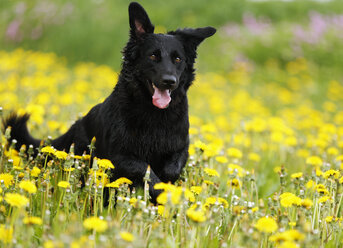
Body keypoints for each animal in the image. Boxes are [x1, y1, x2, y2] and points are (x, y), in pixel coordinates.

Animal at [3, 2, 215, 202]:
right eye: (153, 55)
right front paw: (161, 191)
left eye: (178, 59)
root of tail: (76, 125)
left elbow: (171, 170)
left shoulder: (179, 149)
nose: (170, 81)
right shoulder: (121, 156)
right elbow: (146, 170)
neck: (154, 114)